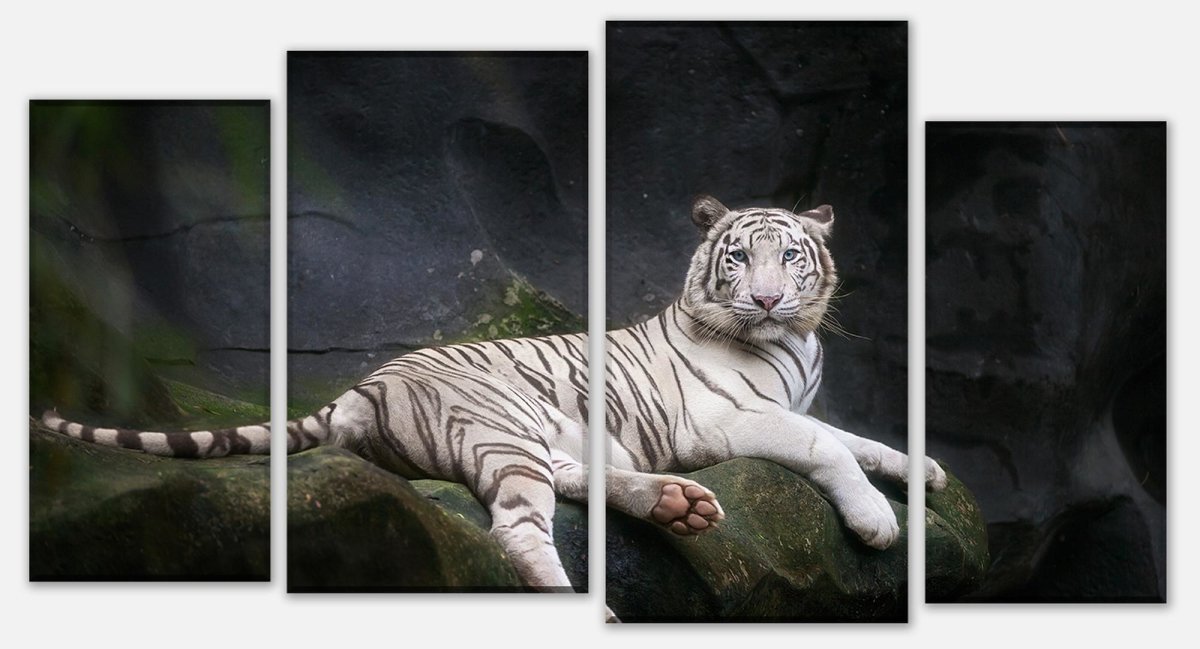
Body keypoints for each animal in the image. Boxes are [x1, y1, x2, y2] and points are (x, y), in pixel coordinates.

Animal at [41, 194, 947, 608]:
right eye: (737, 258)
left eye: (790, 256)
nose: (765, 299)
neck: (793, 340)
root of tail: (357, 388)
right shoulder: (727, 419)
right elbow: (825, 444)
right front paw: (877, 521)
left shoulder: (793, 403)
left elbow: (854, 436)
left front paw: (925, 471)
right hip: (500, 425)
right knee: (516, 531)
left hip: (531, 435)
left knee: (571, 484)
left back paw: (680, 506)